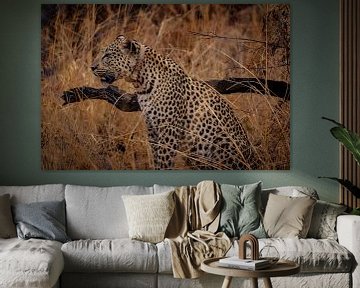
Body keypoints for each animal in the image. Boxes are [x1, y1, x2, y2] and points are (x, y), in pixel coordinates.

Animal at [90, 34, 258, 169]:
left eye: (107, 55)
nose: (92, 67)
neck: (141, 82)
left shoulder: (169, 130)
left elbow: (164, 161)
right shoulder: (152, 129)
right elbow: (156, 158)